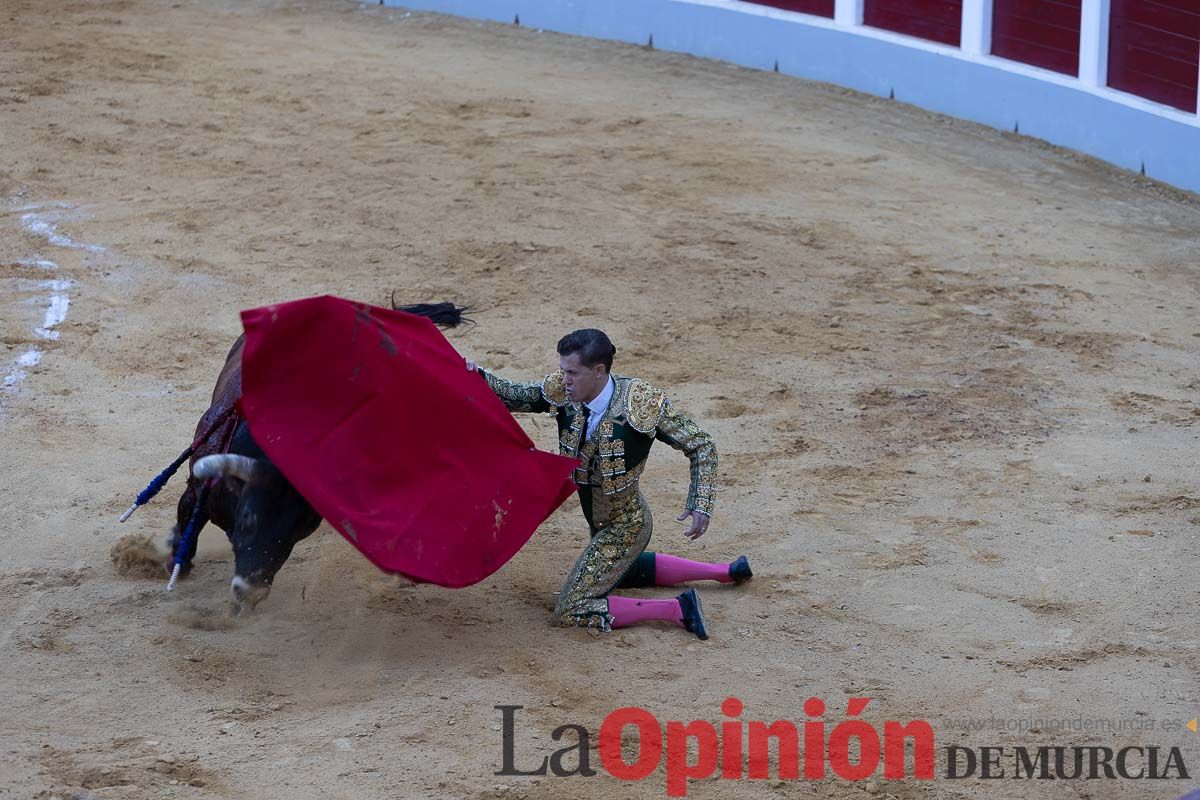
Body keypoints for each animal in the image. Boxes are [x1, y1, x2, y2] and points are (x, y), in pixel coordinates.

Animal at [166, 303, 465, 609]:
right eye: (248, 519)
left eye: (298, 534)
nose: (250, 592)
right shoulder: (197, 487)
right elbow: (187, 520)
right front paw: (179, 565)